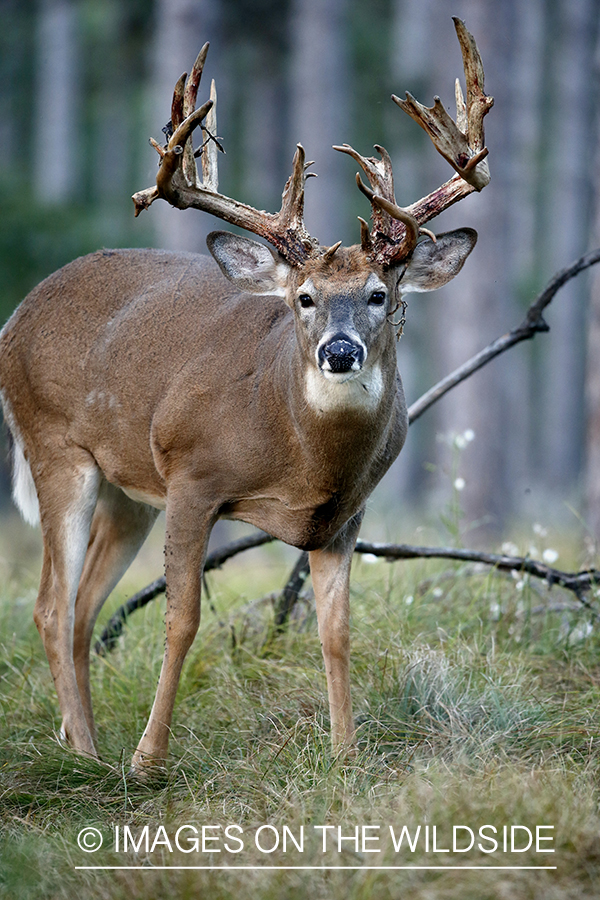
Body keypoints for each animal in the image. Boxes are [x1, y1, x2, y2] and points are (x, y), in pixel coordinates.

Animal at [0, 17, 492, 772]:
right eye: (304, 298)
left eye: (379, 294)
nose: (339, 352)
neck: (301, 457)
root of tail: (13, 319)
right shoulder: (192, 475)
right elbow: (182, 618)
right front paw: (149, 759)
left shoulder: (344, 516)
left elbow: (336, 630)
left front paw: (346, 754)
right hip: (55, 446)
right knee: (51, 606)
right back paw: (87, 752)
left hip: (125, 491)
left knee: (81, 608)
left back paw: (81, 740)